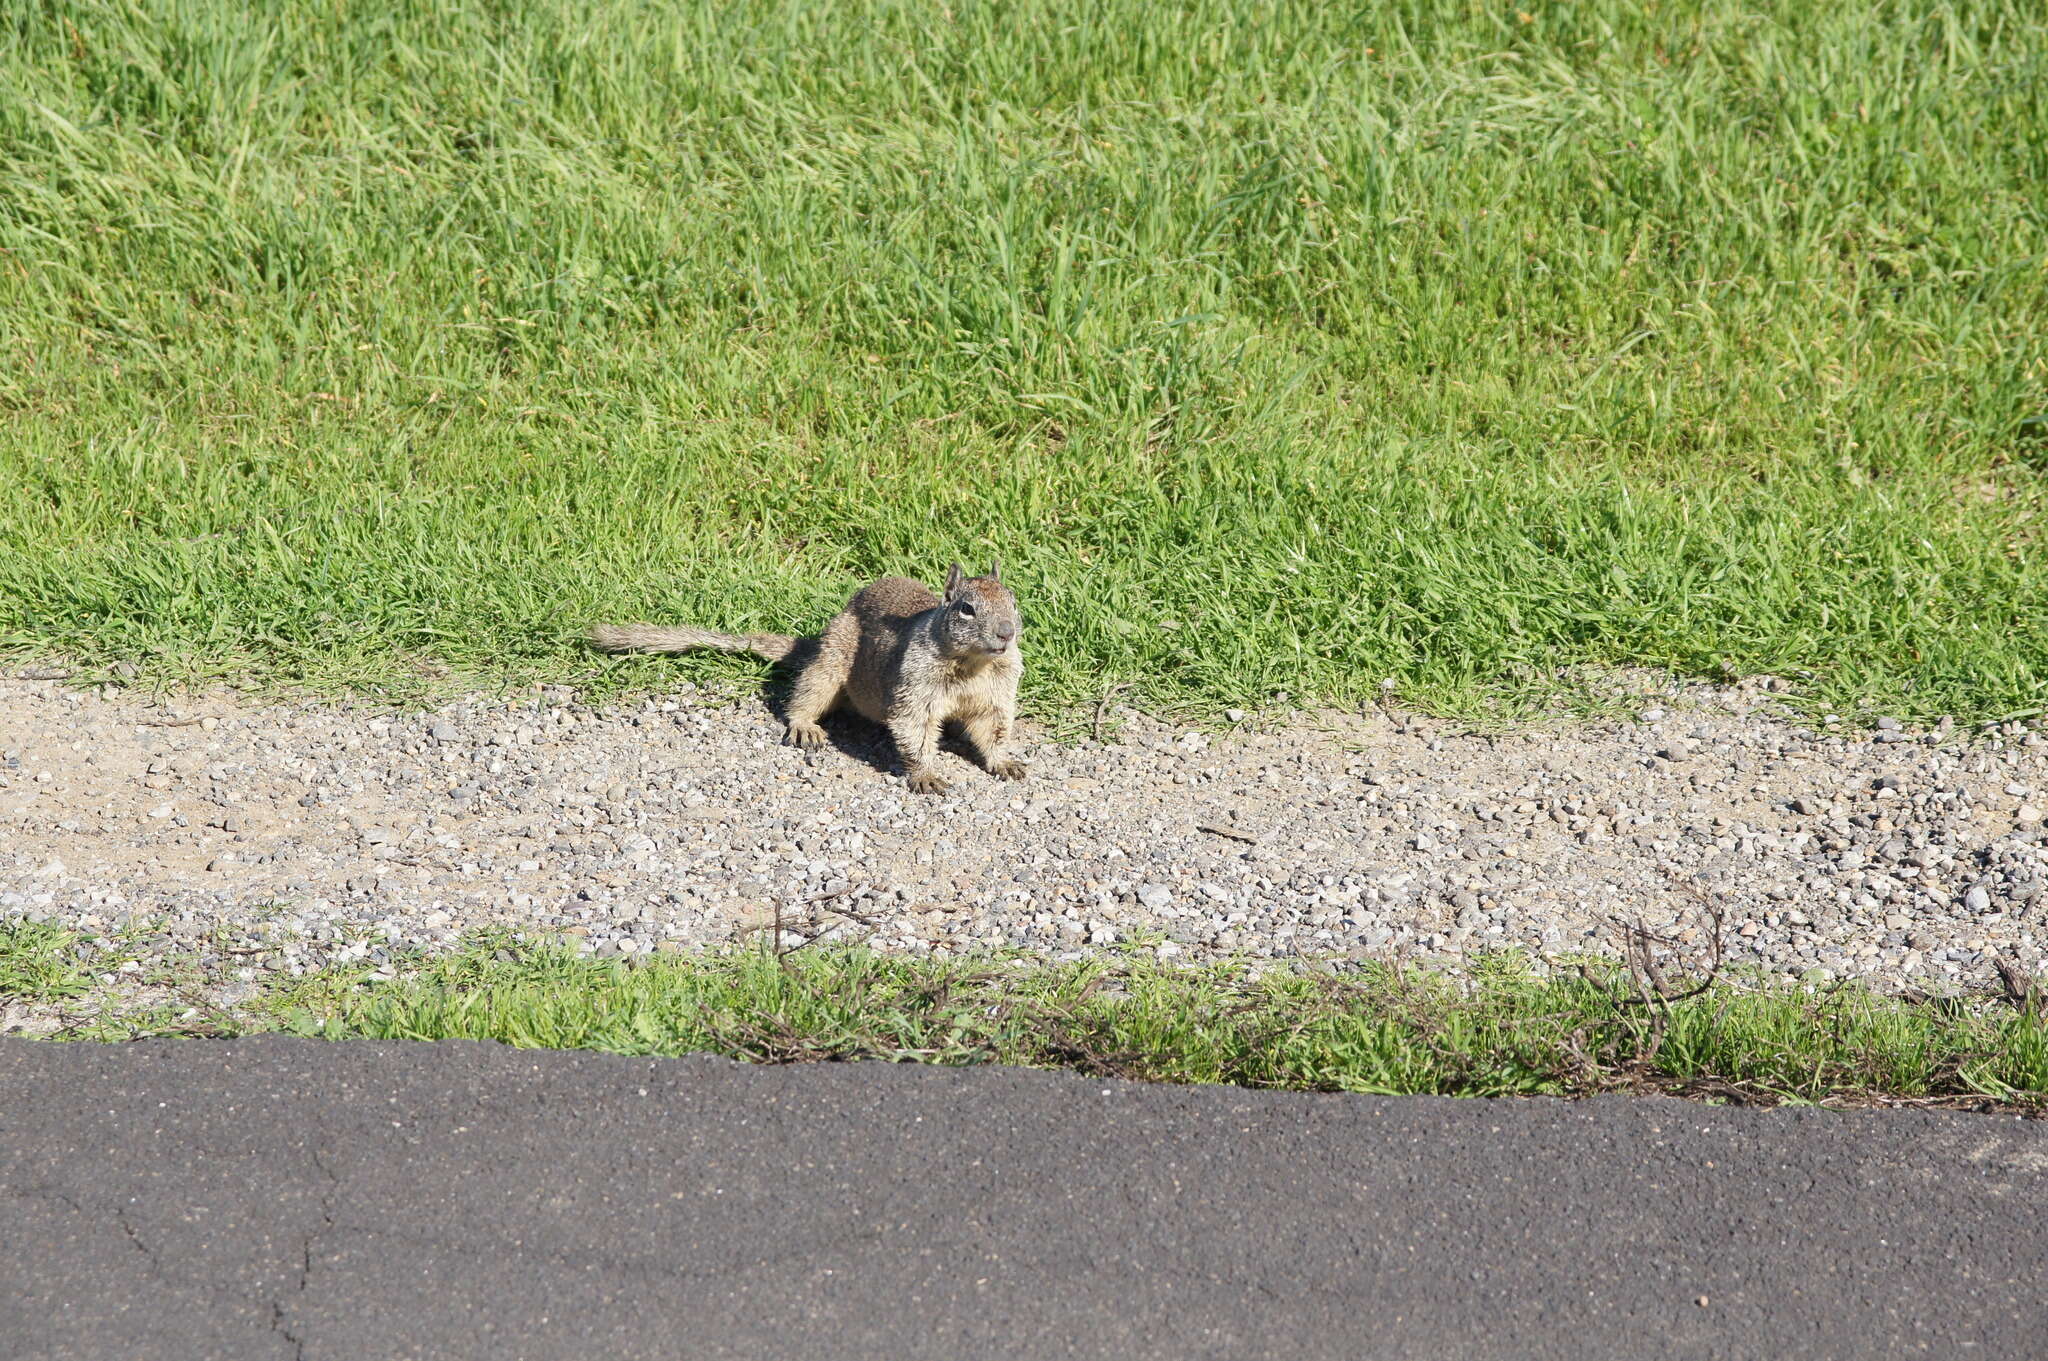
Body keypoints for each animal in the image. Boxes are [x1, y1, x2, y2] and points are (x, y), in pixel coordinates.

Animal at [593, 564, 1024, 798]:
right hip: (829, 665)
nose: (1006, 632)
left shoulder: (997, 695)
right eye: (966, 608)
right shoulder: (915, 689)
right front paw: (927, 775)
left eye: (1013, 600)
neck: (972, 665)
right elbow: (914, 729)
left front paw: (1005, 763)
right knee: (803, 697)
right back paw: (805, 727)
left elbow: (993, 730)